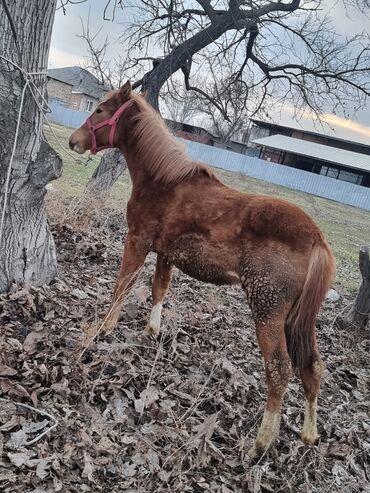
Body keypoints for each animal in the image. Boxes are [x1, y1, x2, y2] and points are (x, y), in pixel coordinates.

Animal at [68, 81, 336, 458]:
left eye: (100, 110)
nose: (73, 141)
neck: (163, 181)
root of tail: (317, 239)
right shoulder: (166, 253)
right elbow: (159, 288)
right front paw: (152, 331)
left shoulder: (137, 241)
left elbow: (123, 284)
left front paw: (104, 328)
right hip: (299, 318)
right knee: (312, 367)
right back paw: (309, 435)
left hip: (268, 308)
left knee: (280, 369)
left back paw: (261, 443)